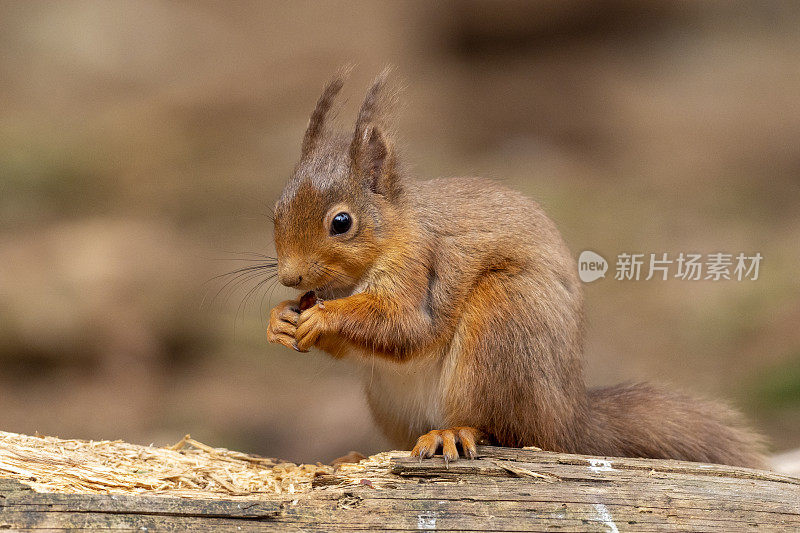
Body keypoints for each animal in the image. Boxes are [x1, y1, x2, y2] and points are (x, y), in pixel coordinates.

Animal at [266, 70, 764, 466]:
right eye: (275, 211)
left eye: (342, 223)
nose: (291, 277)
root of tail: (566, 419)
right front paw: (281, 319)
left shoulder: (421, 265)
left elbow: (406, 326)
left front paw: (323, 317)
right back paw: (353, 456)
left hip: (503, 323)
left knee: (505, 430)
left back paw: (455, 432)